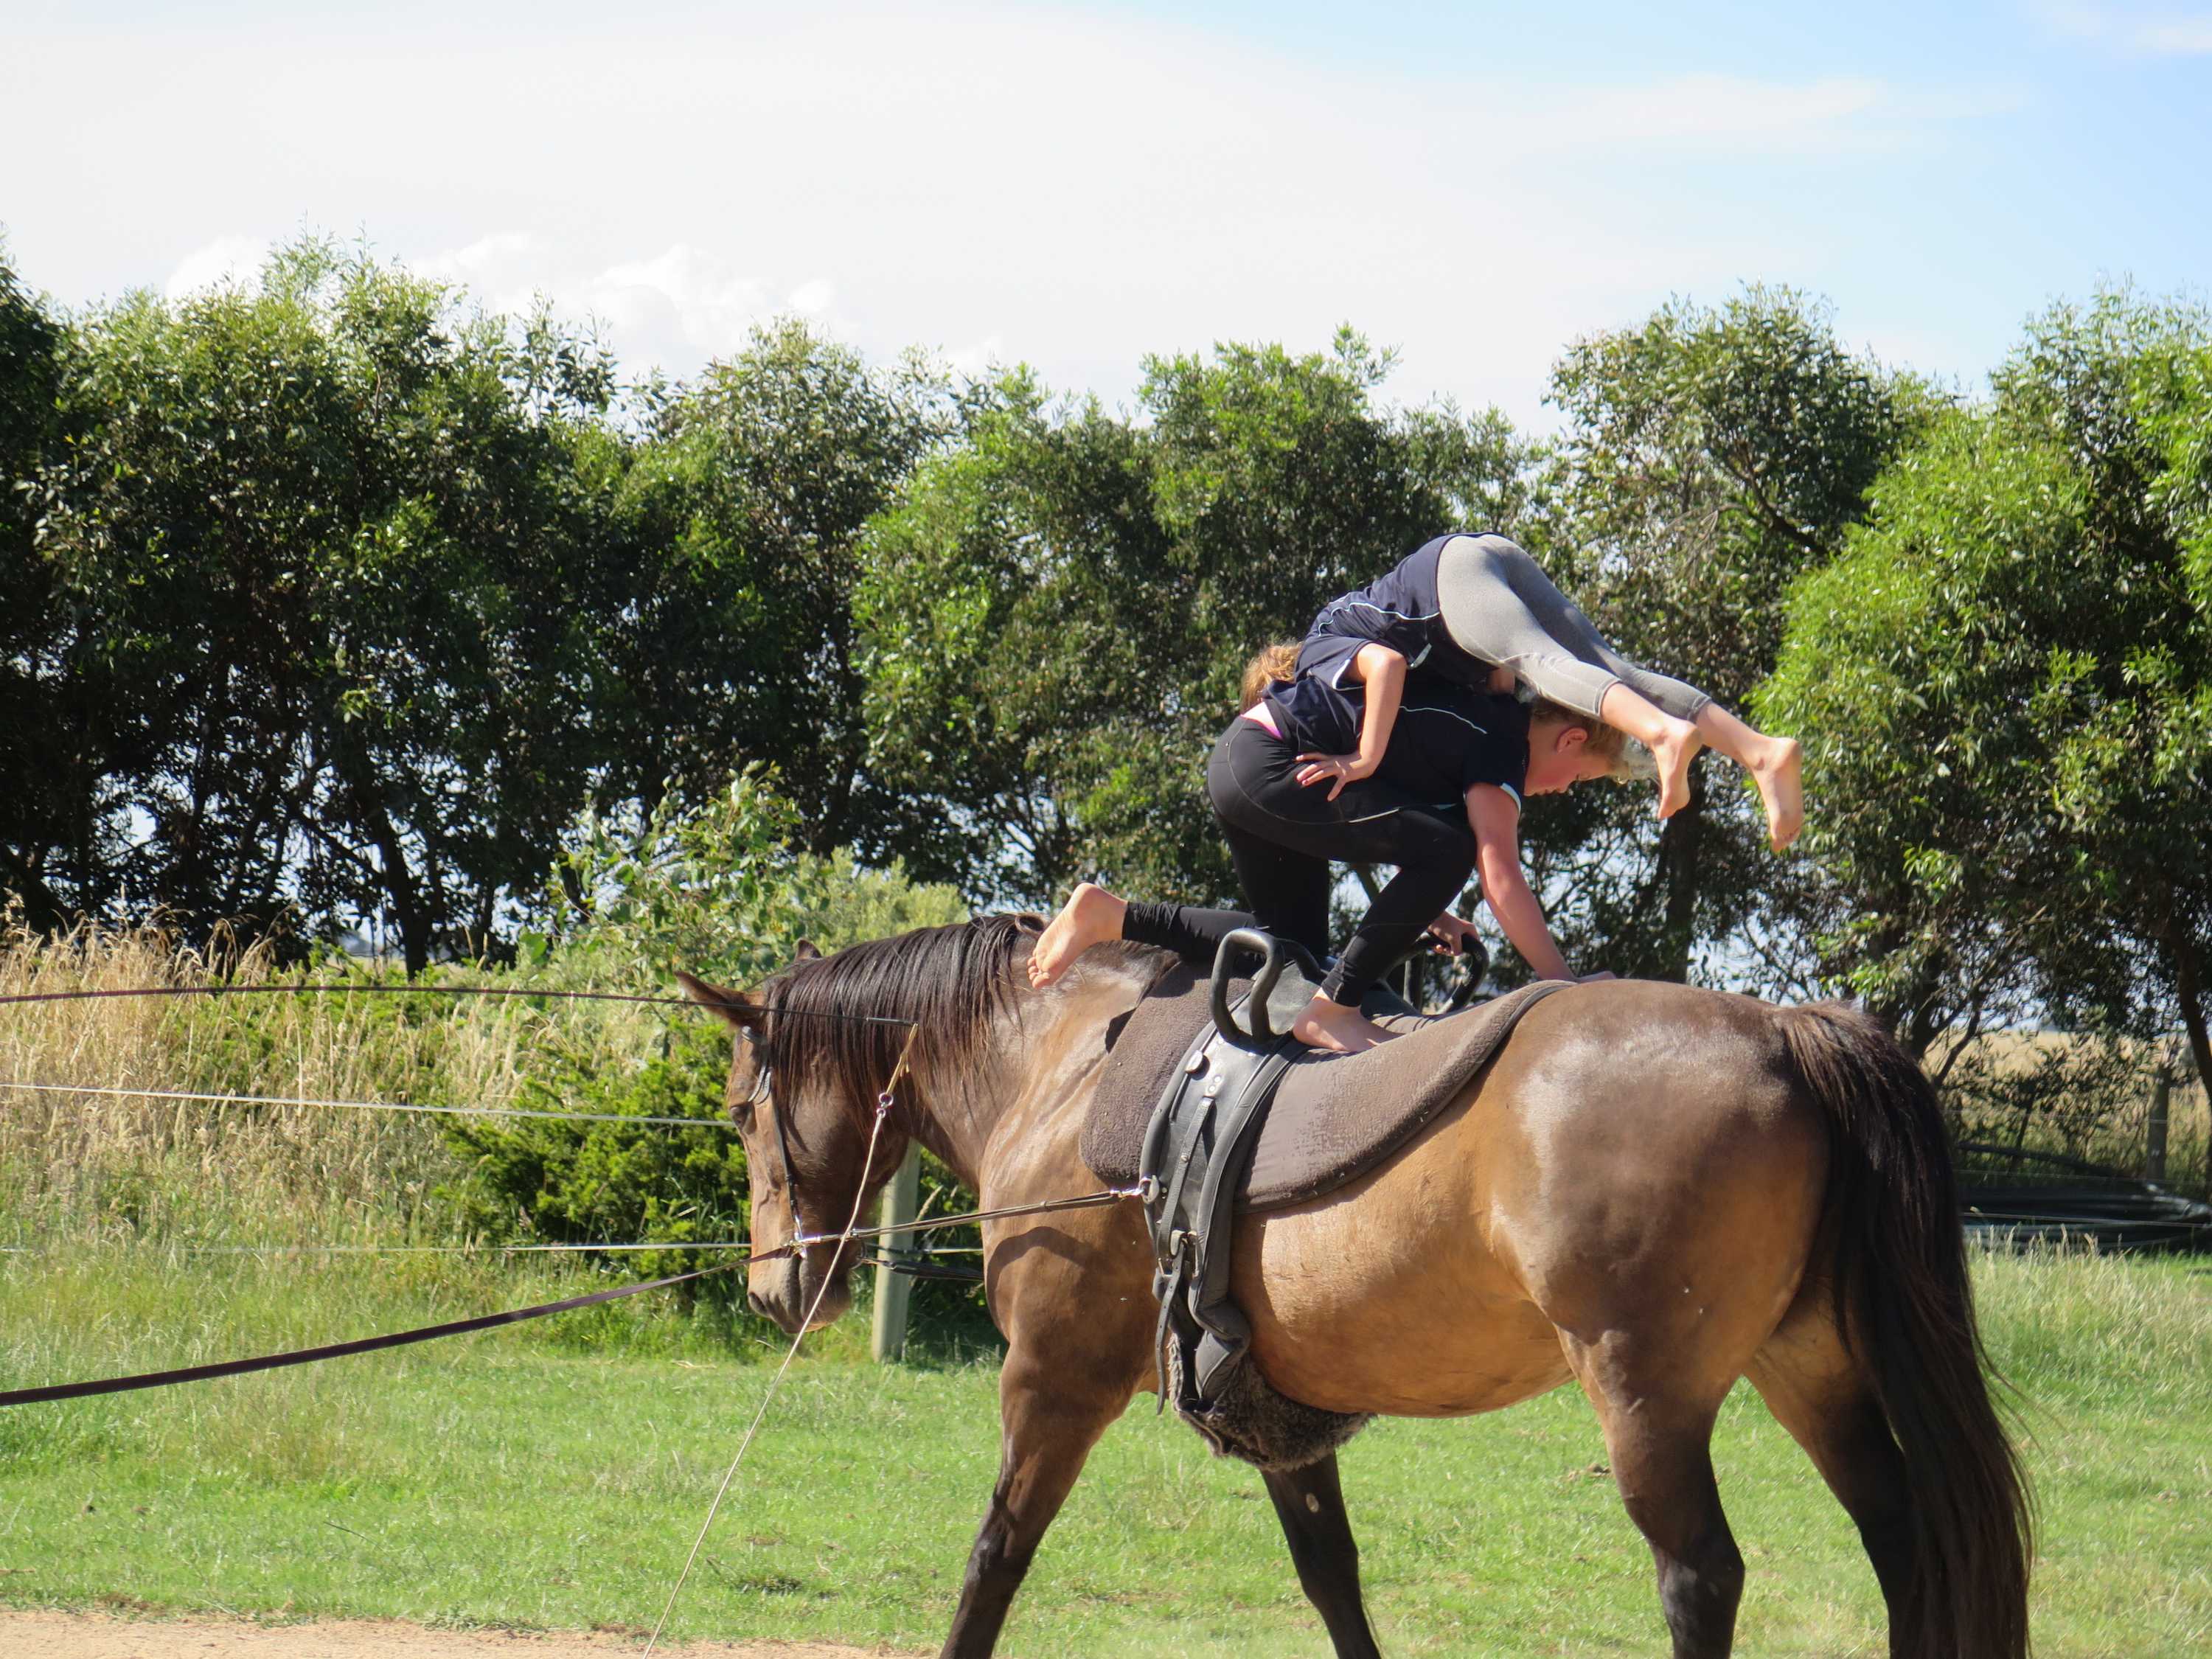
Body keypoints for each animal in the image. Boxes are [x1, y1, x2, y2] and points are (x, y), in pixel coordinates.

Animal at [677, 915, 2030, 1659]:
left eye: (743, 1109)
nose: (773, 1292)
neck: (1060, 1068)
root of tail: (1783, 1030)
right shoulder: (1278, 1414)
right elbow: (1333, 1581)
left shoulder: (1050, 1382)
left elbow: (993, 1558)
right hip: (1810, 1368)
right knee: (1906, 1539)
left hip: (1648, 1398)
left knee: (1703, 1578)